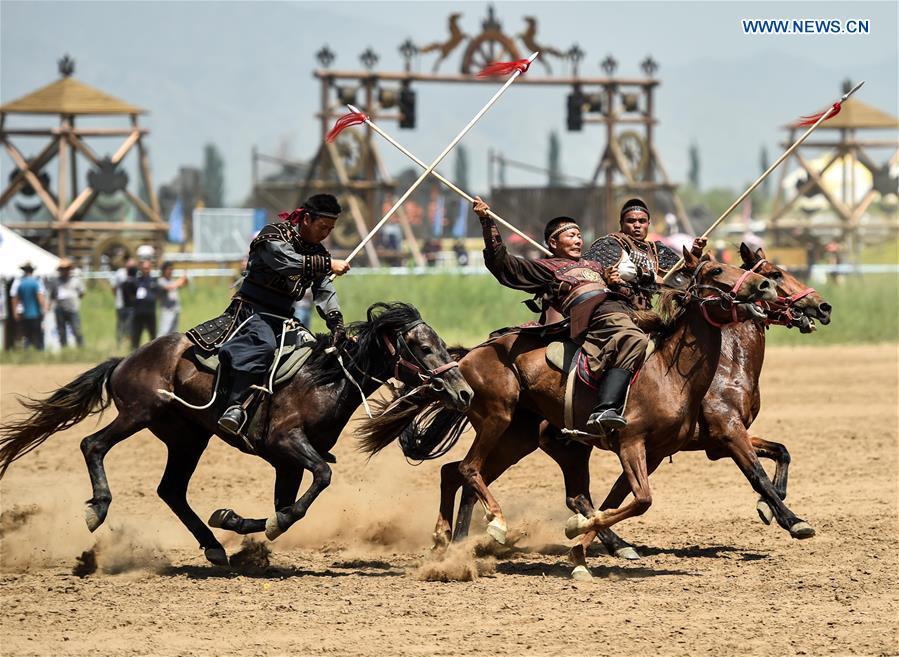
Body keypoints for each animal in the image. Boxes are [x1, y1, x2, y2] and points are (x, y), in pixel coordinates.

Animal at [0, 302, 474, 564]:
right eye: (424, 347)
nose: (464, 391)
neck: (324, 379)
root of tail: (127, 358)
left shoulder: (286, 463)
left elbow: (289, 505)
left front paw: (234, 518)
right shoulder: (287, 444)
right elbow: (320, 479)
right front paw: (270, 525)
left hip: (187, 438)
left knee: (171, 490)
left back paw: (213, 545)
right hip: (139, 412)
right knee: (92, 444)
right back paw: (97, 508)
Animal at [356, 249, 772, 576]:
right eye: (716, 271)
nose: (764, 286)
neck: (668, 372)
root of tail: (469, 355)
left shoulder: (654, 451)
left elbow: (618, 501)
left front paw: (582, 553)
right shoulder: (631, 443)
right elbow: (639, 500)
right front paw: (577, 537)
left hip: (516, 439)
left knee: (452, 471)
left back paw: (447, 541)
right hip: (497, 419)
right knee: (468, 470)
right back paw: (495, 526)